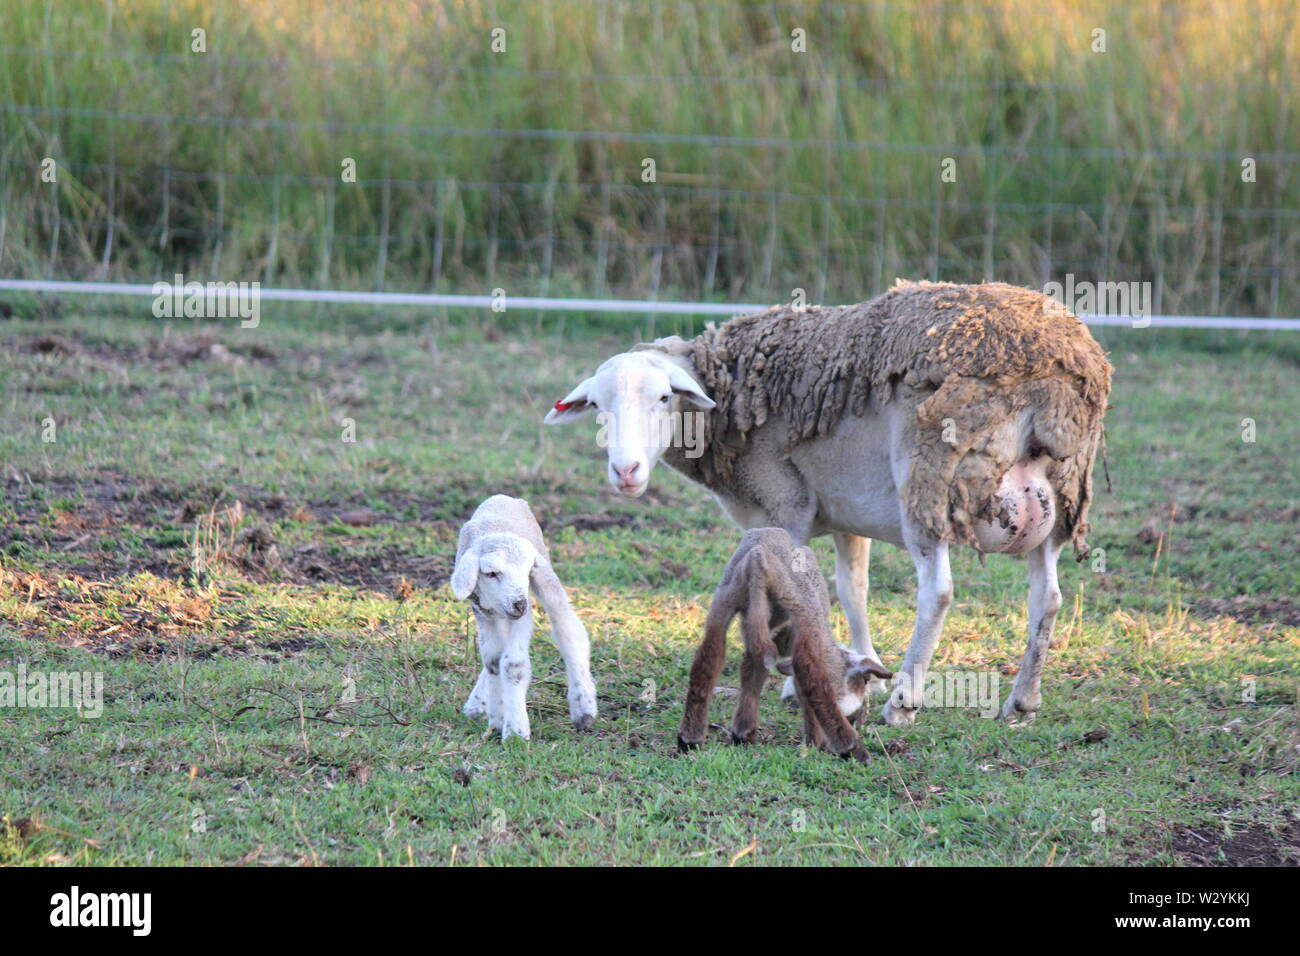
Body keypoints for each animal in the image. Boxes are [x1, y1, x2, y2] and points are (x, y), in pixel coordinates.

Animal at [449, 496, 595, 738]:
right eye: (491, 574)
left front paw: (515, 730)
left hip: (545, 574)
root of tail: (505, 497)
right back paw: (477, 703)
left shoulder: (523, 614)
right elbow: (493, 660)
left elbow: (513, 665)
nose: (519, 604)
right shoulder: (481, 610)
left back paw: (583, 705)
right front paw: (497, 718)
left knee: (569, 629)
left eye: (527, 571)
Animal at [543, 282, 1112, 723]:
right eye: (596, 405)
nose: (625, 472)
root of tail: (1053, 370)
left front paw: (797, 681)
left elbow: (791, 592)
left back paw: (905, 703)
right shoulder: (845, 515)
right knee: (1048, 597)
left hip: (928, 477)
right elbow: (852, 591)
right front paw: (864, 668)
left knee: (939, 592)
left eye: (664, 398)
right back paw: (1022, 701)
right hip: (1059, 498)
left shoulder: (783, 505)